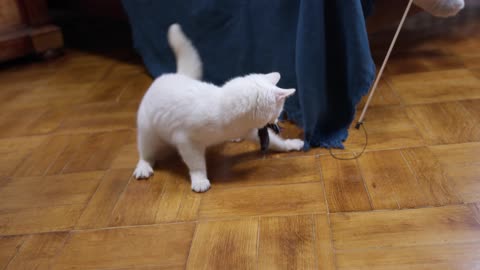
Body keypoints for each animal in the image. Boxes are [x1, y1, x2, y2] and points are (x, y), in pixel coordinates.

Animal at [132, 23, 304, 192]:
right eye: (278, 112)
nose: (276, 122)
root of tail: (171, 75)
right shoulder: (186, 141)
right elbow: (196, 163)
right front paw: (200, 179)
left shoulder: (251, 131)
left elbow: (276, 142)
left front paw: (291, 144)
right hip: (148, 132)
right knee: (145, 152)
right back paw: (143, 167)